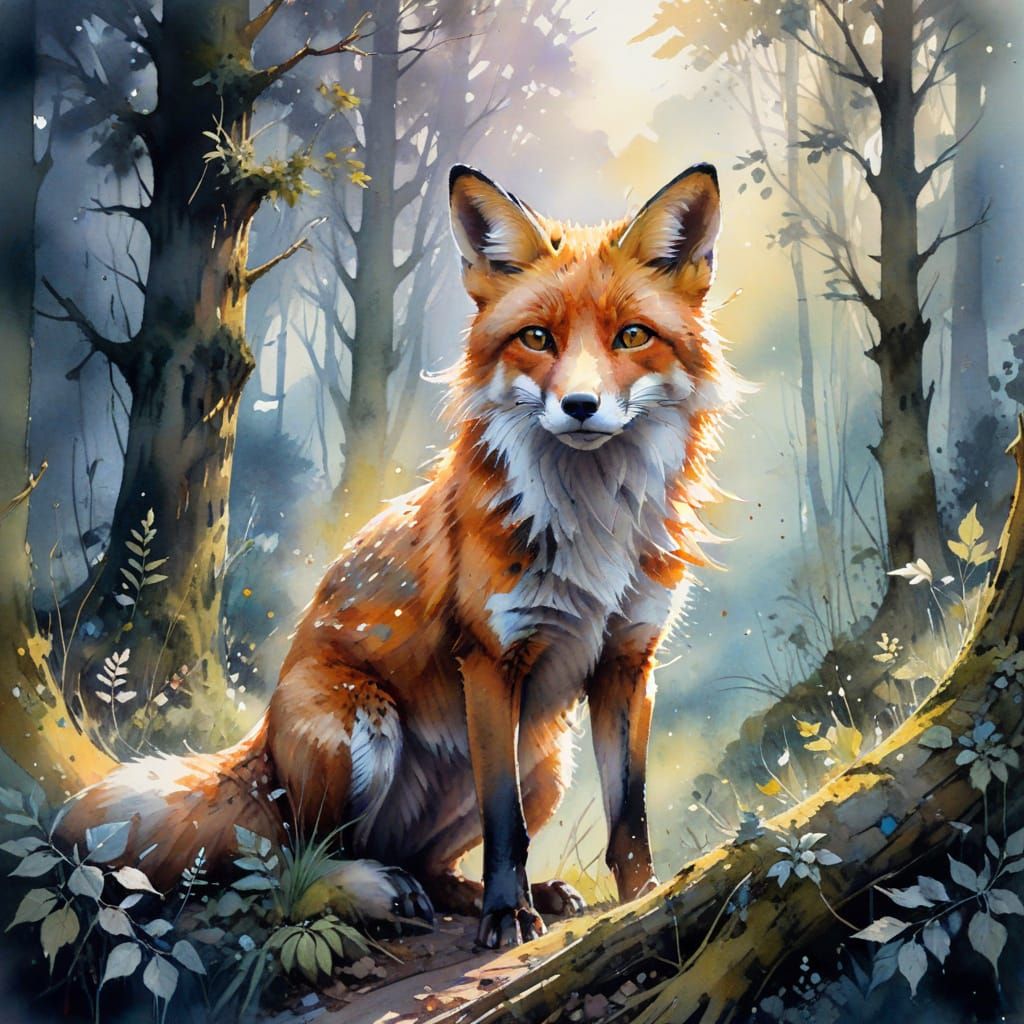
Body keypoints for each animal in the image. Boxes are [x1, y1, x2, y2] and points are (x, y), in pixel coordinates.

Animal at [59, 161, 741, 948]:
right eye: (537, 337)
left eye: (632, 336)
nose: (579, 406)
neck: (592, 525)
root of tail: (257, 745)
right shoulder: (490, 660)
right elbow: (504, 823)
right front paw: (507, 917)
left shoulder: (629, 661)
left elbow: (628, 817)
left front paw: (645, 904)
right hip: (361, 721)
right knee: (293, 869)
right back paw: (381, 889)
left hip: (546, 761)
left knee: (426, 864)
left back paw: (472, 890)